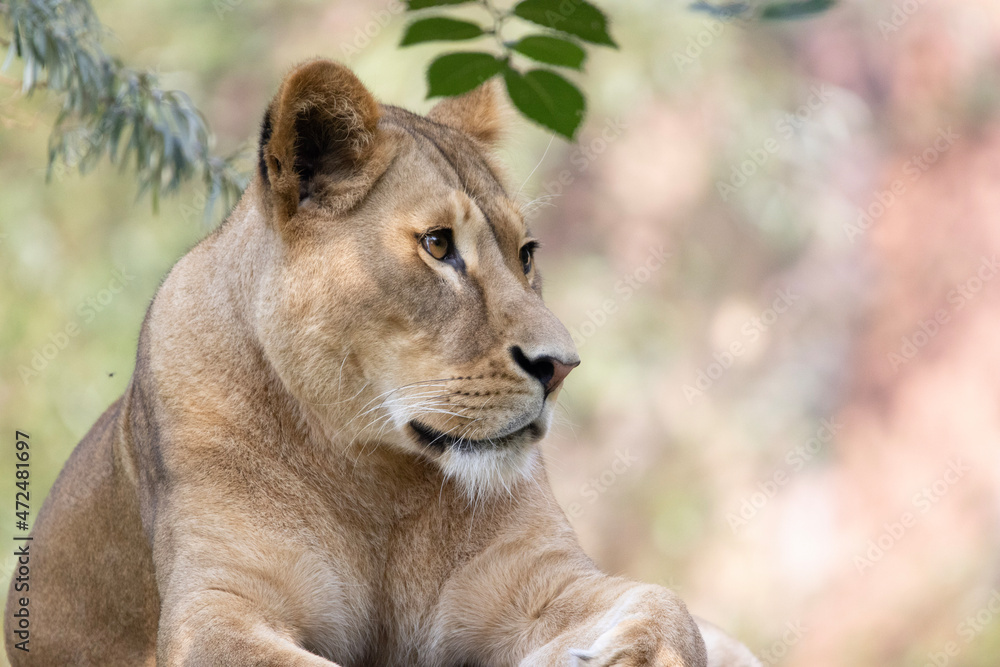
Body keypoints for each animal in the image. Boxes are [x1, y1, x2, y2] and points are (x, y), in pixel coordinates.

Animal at [5, 59, 760, 667]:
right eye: (438, 245)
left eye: (526, 253)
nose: (562, 366)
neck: (374, 479)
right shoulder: (217, 609)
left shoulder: (541, 578)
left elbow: (668, 605)